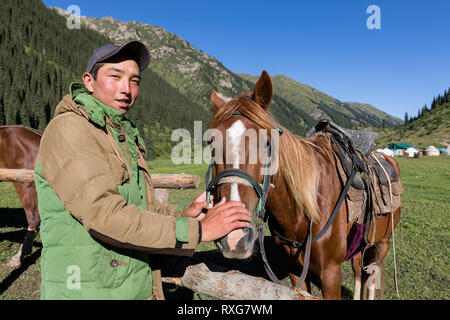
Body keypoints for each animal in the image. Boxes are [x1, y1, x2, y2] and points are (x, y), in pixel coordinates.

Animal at [207, 71, 400, 298]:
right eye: (210, 143)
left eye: (266, 143)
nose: (235, 238)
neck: (305, 210)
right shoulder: (293, 268)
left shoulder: (331, 273)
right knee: (359, 271)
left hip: (382, 243)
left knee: (372, 276)